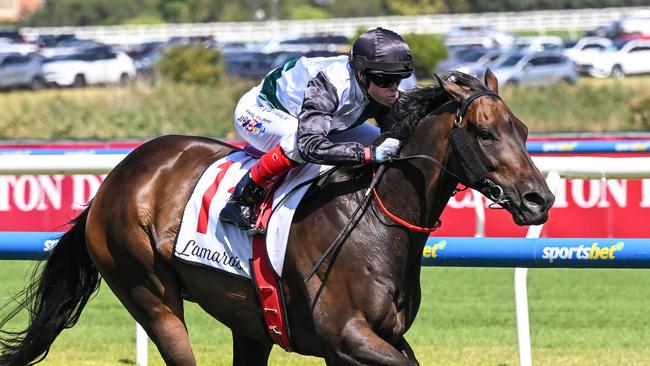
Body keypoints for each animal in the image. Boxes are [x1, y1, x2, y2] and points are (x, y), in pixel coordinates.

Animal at [1, 70, 552, 364]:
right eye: (485, 133)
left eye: (523, 130)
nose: (539, 200)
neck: (375, 220)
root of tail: (114, 180)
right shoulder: (347, 336)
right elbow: (305, 139)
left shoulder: (375, 339)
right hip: (148, 293)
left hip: (248, 319)